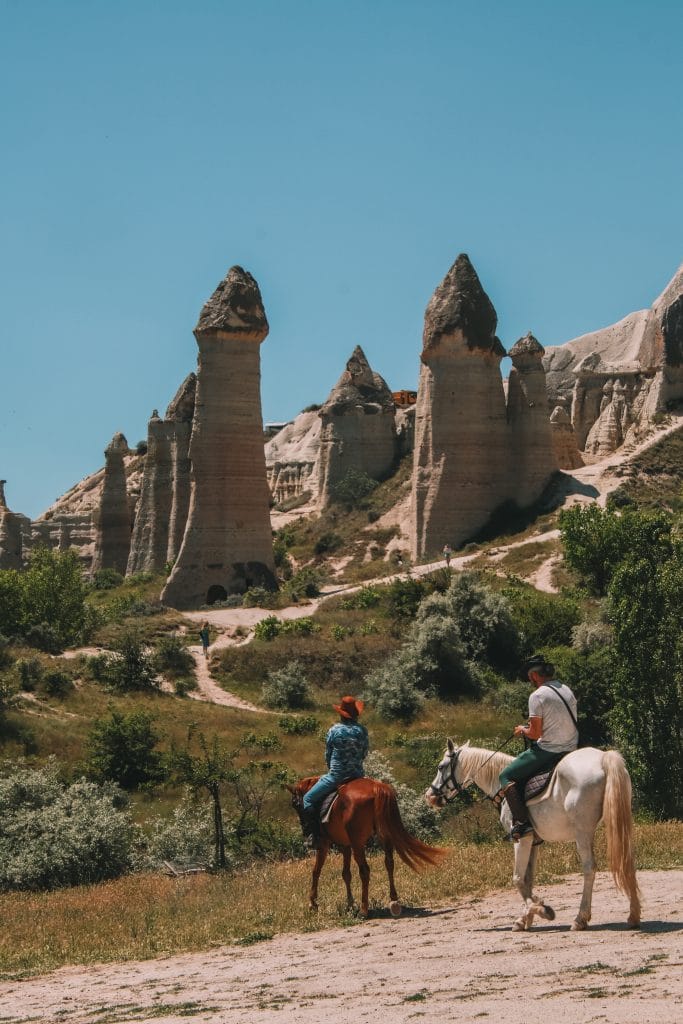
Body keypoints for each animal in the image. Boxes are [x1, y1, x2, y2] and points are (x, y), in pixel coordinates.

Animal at [286, 774, 444, 921]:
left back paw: (364, 910)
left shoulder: (324, 844)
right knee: (389, 863)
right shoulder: (346, 845)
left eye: (295, 804)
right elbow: (346, 874)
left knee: (365, 871)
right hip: (384, 836)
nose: (305, 830)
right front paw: (350, 905)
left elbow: (316, 871)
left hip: (358, 844)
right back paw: (394, 901)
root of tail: (376, 787)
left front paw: (313, 903)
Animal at [423, 741, 643, 933]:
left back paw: (580, 919)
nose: (430, 796)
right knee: (627, 861)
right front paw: (526, 918)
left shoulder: (522, 839)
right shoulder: (534, 842)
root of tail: (603, 757)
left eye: (441, 767)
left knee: (589, 869)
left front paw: (541, 910)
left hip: (583, 833)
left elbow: (518, 879)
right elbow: (528, 879)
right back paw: (633, 916)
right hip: (618, 824)